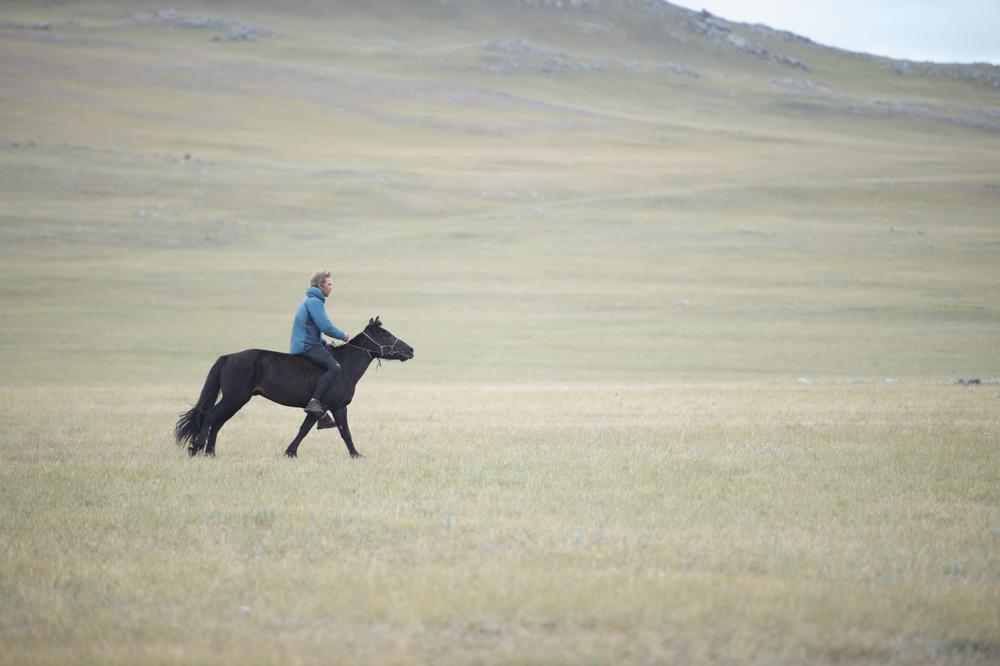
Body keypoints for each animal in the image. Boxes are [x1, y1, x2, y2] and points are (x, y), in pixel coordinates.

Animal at [174, 316, 413, 458]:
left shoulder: (339, 407)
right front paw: (290, 452)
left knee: (217, 422)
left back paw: (211, 453)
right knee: (210, 417)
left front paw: (356, 455)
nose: (411, 350)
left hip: (236, 401)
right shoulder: (322, 407)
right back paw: (196, 449)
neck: (344, 366)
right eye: (385, 334)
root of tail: (227, 358)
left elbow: (345, 432)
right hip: (235, 398)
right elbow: (305, 429)